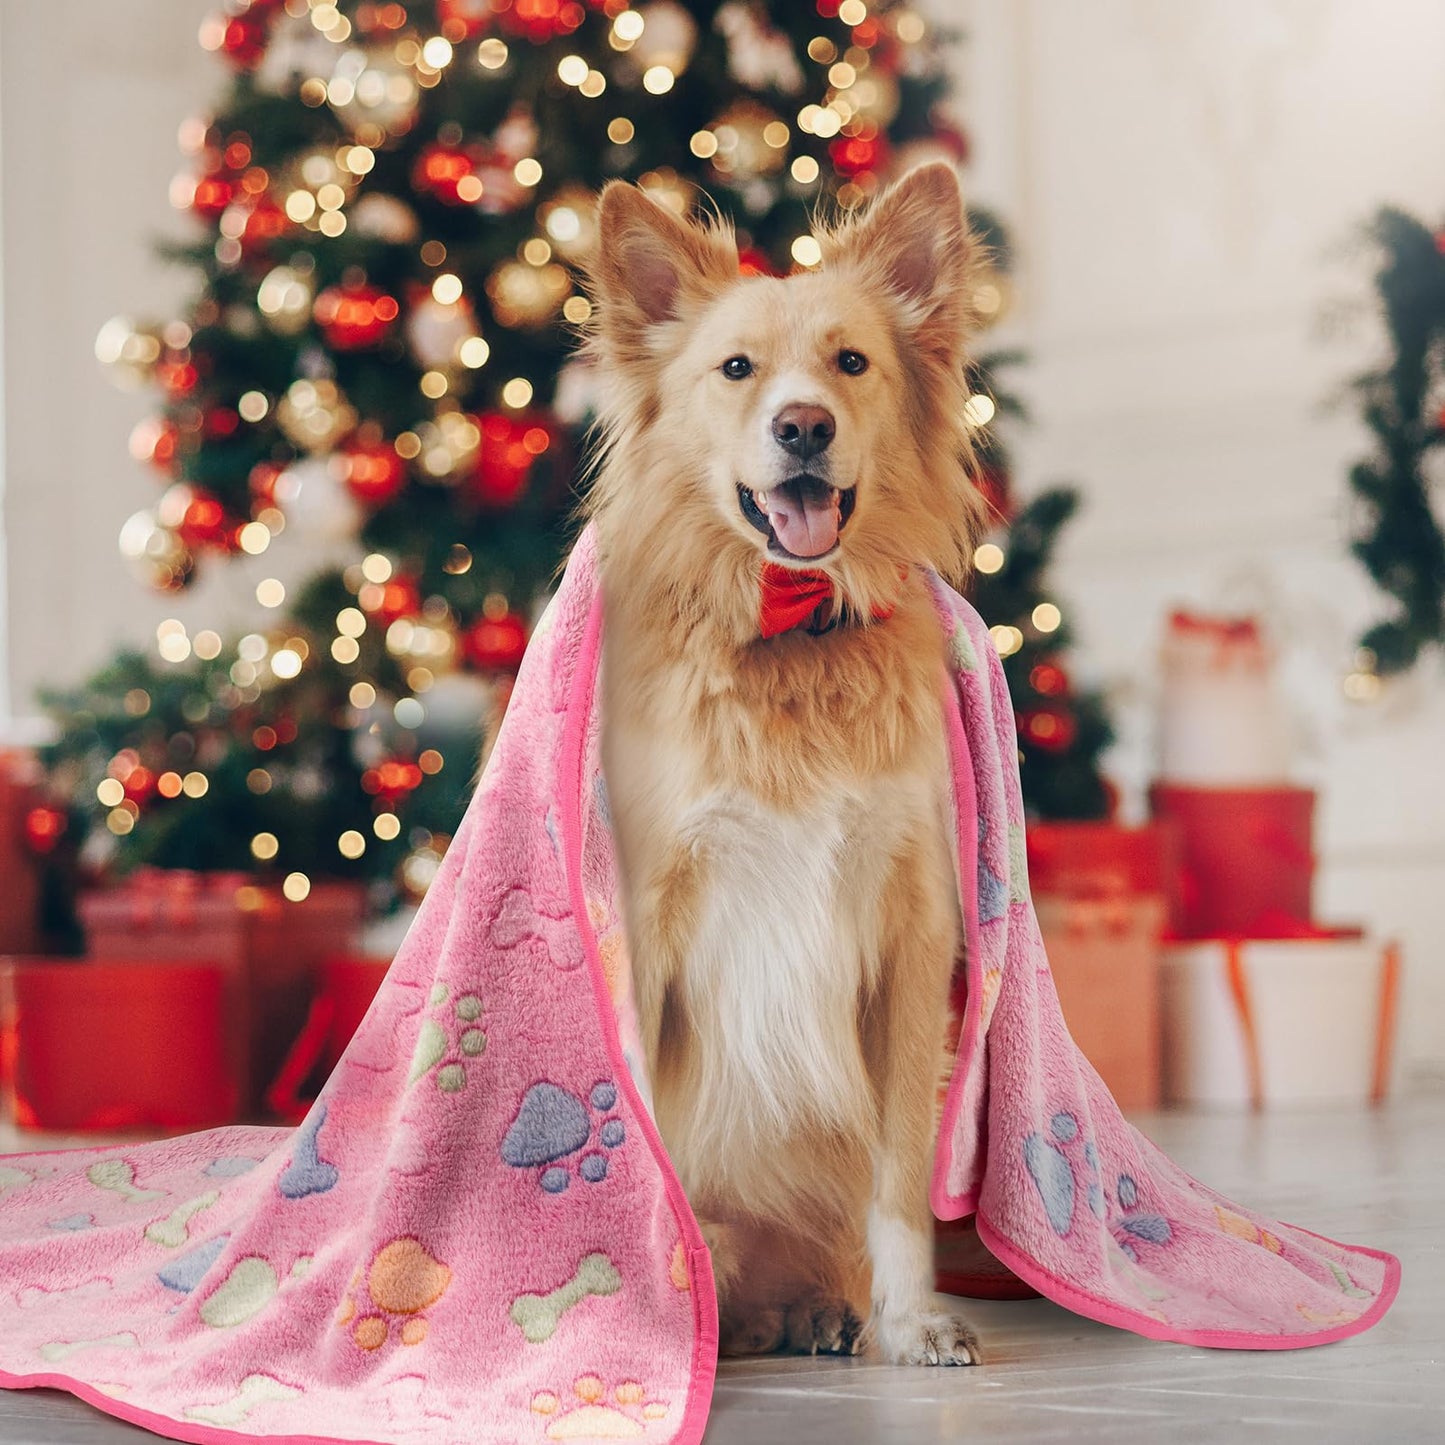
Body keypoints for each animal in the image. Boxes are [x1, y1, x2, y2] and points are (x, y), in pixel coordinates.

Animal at [580, 164, 988, 1358]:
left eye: (851, 362)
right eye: (736, 370)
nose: (802, 427)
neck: (791, 638)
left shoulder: (911, 928)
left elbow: (898, 1174)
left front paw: (909, 1320)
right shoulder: (648, 920)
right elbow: (651, 1158)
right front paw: (656, 1324)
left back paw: (809, 1309)